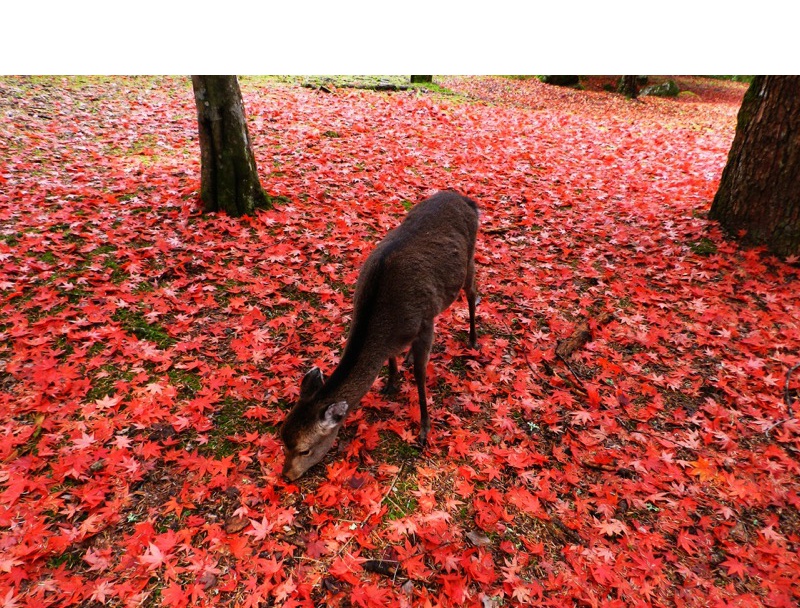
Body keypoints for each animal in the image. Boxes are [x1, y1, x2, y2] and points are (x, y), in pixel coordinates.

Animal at [282, 190, 478, 480]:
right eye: (282, 438)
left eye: (305, 449)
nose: (284, 476)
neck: (388, 322)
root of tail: (466, 199)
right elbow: (392, 358)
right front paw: (390, 384)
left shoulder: (424, 323)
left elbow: (420, 377)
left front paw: (424, 430)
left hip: (470, 259)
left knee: (473, 294)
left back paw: (473, 340)